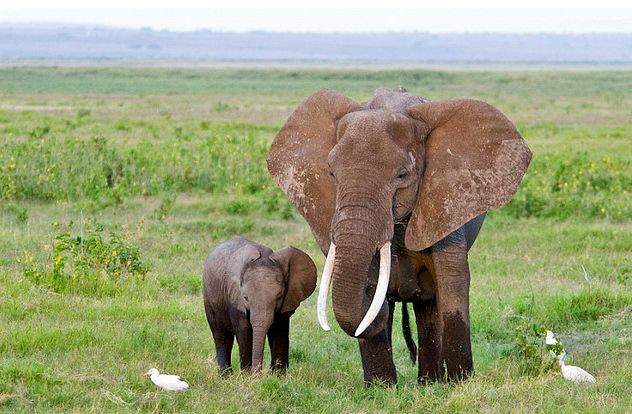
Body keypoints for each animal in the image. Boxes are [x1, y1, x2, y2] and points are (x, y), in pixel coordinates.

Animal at [202, 236, 316, 376]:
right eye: (245, 298)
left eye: (279, 297)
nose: (259, 374)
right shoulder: (235, 300)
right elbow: (244, 331)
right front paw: (247, 376)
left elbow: (279, 331)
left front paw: (278, 376)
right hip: (209, 298)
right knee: (221, 335)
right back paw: (226, 376)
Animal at [266, 87, 532, 384]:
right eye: (332, 173)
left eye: (403, 175)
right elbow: (371, 282)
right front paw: (381, 388)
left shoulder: (445, 201)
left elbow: (452, 280)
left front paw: (460, 383)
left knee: (429, 303)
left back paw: (430, 383)